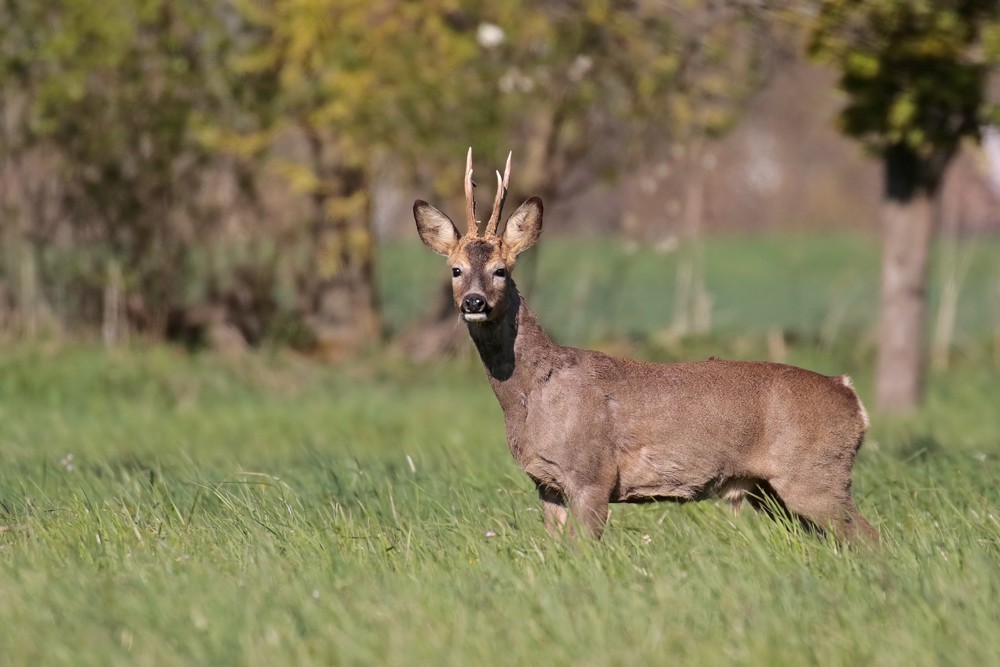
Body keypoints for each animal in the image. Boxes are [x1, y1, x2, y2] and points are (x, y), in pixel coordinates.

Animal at [410, 150, 880, 544]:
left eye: (501, 270)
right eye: (456, 269)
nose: (474, 302)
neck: (531, 397)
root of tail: (850, 394)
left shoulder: (592, 474)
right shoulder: (546, 483)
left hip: (815, 475)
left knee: (872, 537)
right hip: (771, 489)